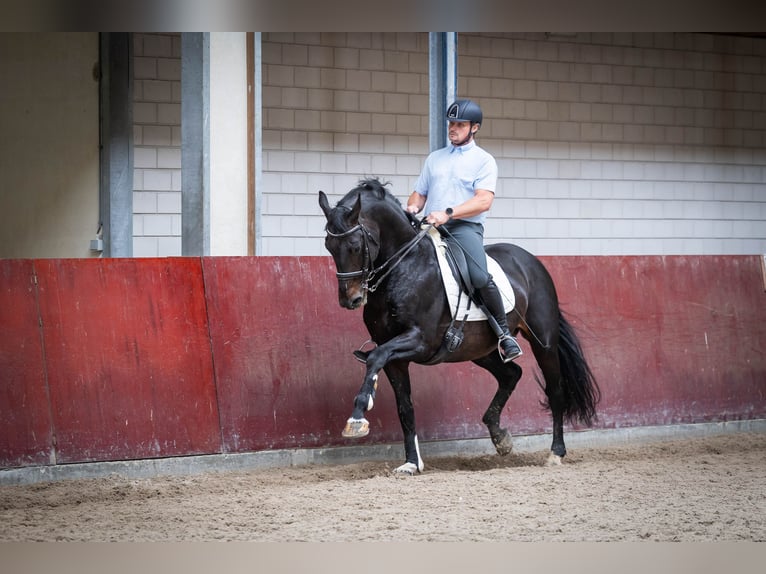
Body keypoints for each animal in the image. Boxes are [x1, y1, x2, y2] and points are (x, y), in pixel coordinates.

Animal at [318, 178, 600, 474]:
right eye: (328, 245)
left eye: (354, 245)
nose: (350, 299)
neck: (405, 267)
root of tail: (532, 261)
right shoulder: (396, 357)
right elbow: (404, 406)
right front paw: (411, 462)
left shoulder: (420, 341)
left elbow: (375, 357)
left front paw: (358, 417)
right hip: (480, 350)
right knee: (511, 374)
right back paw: (500, 437)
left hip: (543, 342)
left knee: (554, 390)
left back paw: (555, 452)